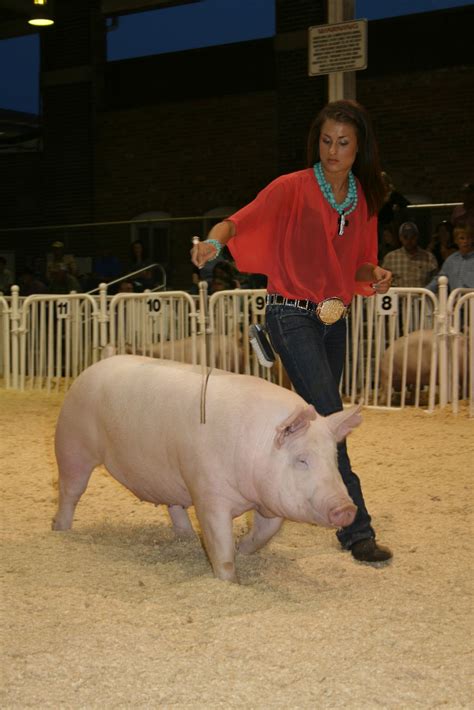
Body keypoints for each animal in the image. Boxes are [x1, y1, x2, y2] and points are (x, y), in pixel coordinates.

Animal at [52, 356, 360, 584]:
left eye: (333, 458)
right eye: (302, 459)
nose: (347, 508)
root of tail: (92, 367)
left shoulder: (269, 499)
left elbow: (267, 532)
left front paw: (243, 548)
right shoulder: (208, 493)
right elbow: (219, 542)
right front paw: (230, 582)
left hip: (170, 472)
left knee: (174, 505)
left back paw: (186, 537)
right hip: (72, 443)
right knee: (70, 491)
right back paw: (60, 530)